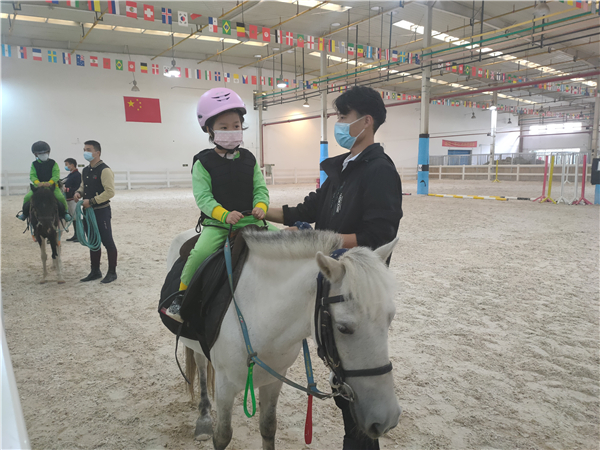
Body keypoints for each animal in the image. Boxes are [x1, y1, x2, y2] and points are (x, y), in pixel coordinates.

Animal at [166, 228, 401, 450]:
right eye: (343, 328)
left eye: (391, 317)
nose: (387, 419)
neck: (260, 315)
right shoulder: (225, 386)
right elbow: (222, 436)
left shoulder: (274, 379)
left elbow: (268, 427)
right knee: (201, 366)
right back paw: (204, 416)